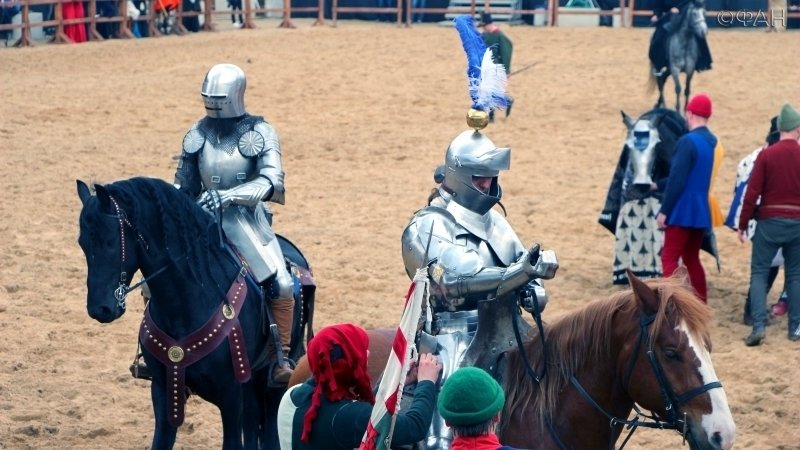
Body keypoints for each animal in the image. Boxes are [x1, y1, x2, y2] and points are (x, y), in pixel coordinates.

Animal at [74, 178, 312, 448]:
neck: (188, 300)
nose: (100, 309)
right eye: (83, 243)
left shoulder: (231, 395)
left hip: (273, 382)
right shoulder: (163, 390)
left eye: (110, 242)